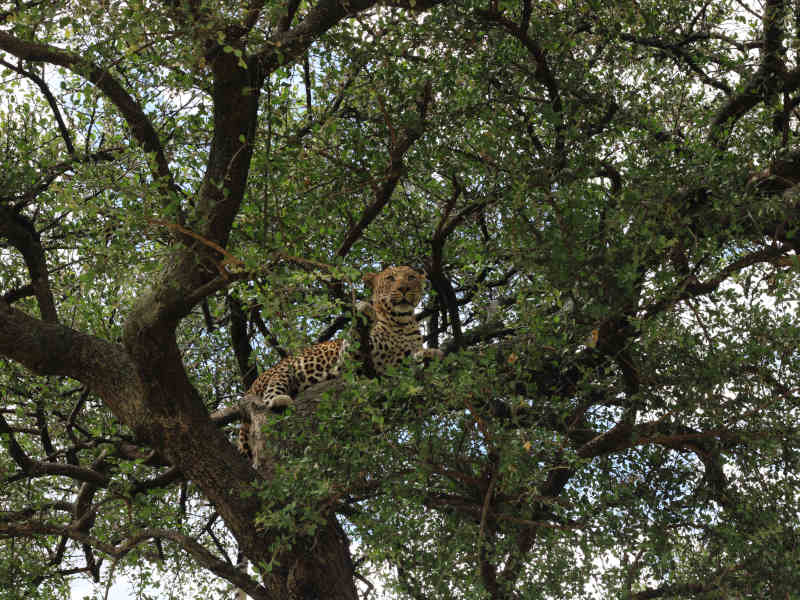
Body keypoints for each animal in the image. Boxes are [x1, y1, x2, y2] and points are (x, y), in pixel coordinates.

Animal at [241, 268, 444, 454]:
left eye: (411, 277)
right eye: (390, 278)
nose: (403, 288)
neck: (402, 323)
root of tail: (251, 387)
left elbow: (413, 355)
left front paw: (430, 353)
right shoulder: (348, 361)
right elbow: (355, 337)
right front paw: (365, 311)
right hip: (283, 370)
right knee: (273, 388)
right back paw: (278, 399)